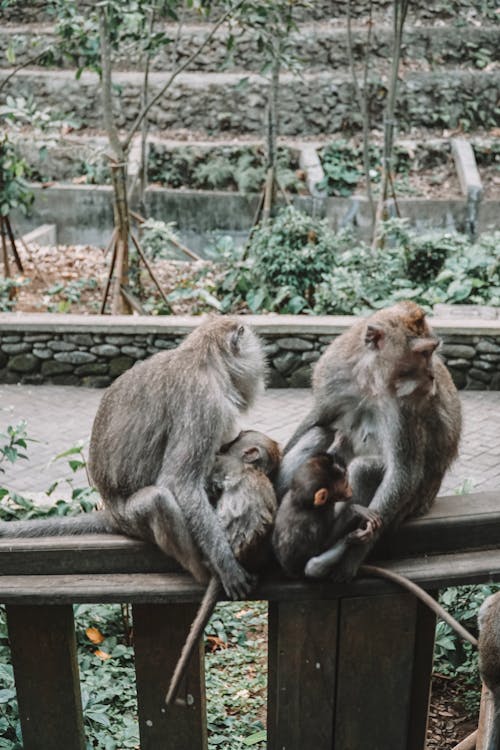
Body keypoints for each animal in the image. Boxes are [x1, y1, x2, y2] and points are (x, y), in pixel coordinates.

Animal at [0, 320, 266, 604]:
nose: (261, 371)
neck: (203, 358)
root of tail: (112, 513)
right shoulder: (205, 405)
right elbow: (180, 483)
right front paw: (225, 564)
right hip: (133, 518)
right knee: (159, 499)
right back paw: (202, 570)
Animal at [272, 452, 380, 580]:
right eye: (345, 484)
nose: (350, 489)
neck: (301, 502)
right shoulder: (318, 516)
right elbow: (322, 546)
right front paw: (355, 511)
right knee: (312, 566)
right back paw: (352, 538)